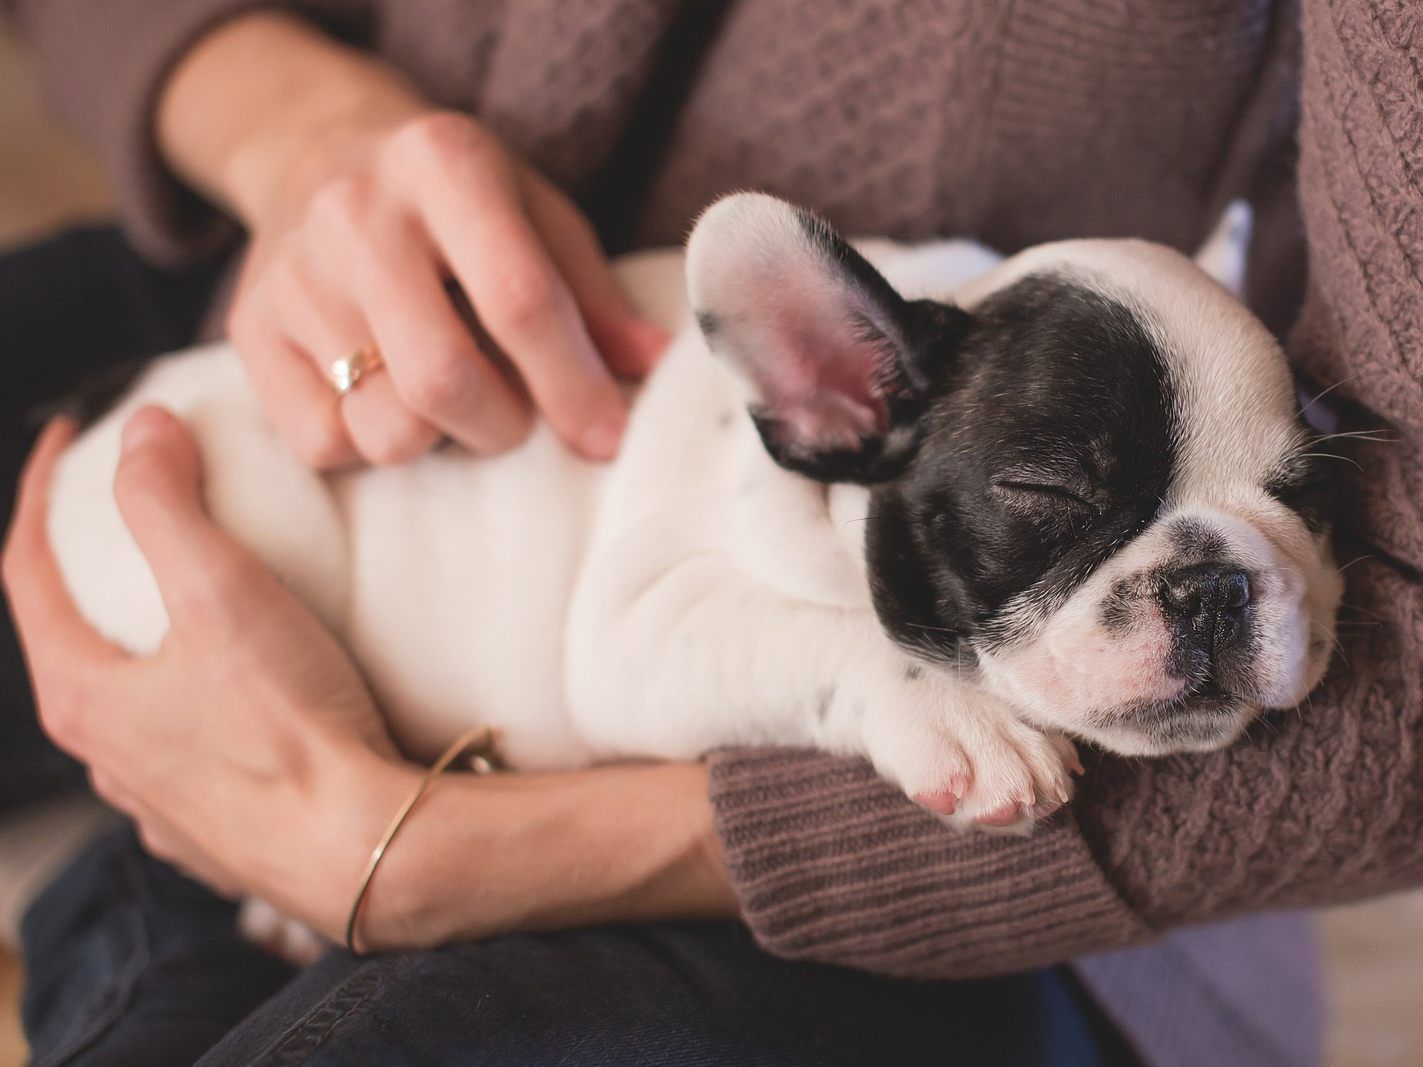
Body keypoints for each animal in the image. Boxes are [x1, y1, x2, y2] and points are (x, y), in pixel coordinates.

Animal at [44, 196, 1337, 842]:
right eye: (1049, 492)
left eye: (1305, 495)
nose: (1215, 581)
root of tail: (102, 401)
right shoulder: (635, 627)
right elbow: (824, 632)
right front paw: (962, 720)